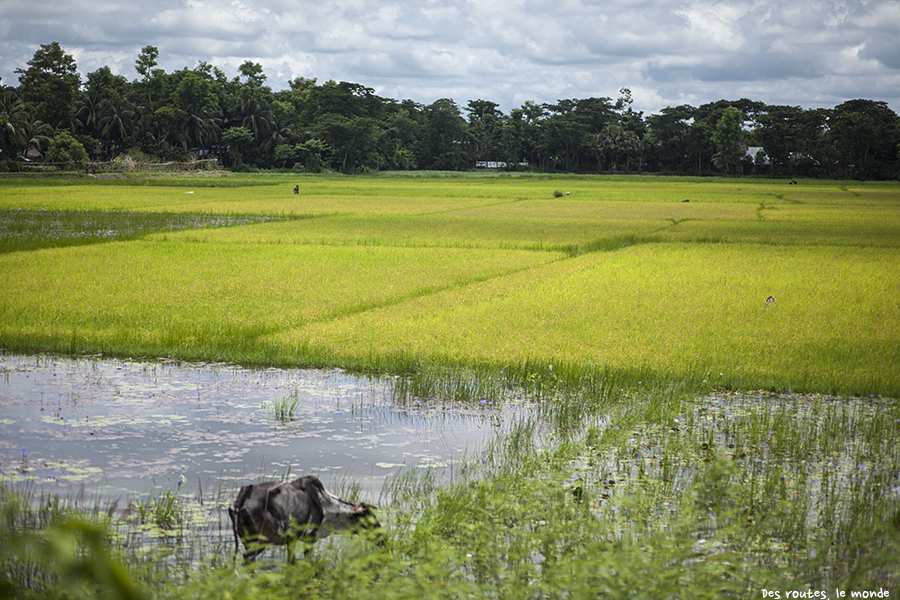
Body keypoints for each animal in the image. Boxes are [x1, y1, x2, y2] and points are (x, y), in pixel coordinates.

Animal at [229, 474, 380, 564]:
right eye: (371, 519)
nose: (383, 539)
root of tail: (240, 501)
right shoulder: (310, 537)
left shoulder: (291, 540)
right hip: (259, 541)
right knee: (248, 559)